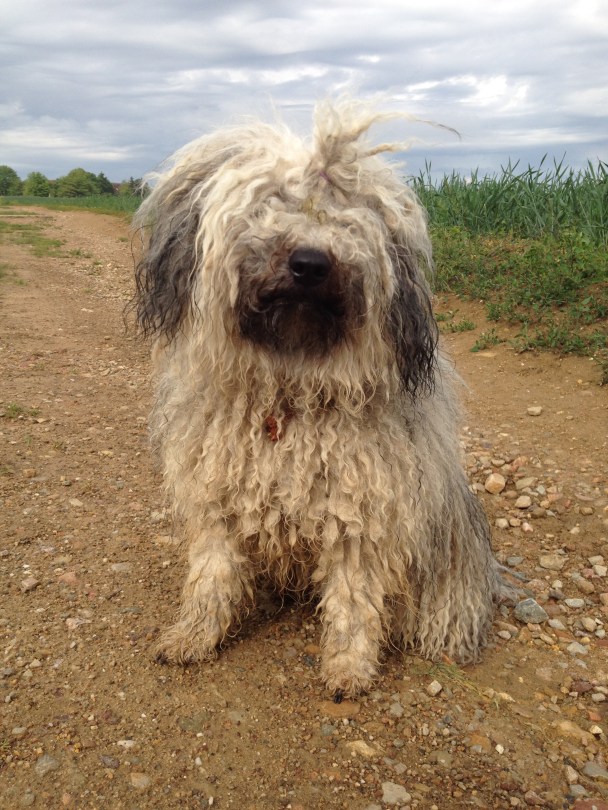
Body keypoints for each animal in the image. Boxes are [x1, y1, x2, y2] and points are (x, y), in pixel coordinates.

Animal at [134, 100, 509, 697]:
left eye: (349, 213)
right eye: (269, 200)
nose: (310, 263)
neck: (289, 394)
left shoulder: (359, 516)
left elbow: (354, 599)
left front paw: (348, 667)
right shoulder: (217, 497)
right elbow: (212, 575)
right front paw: (194, 635)